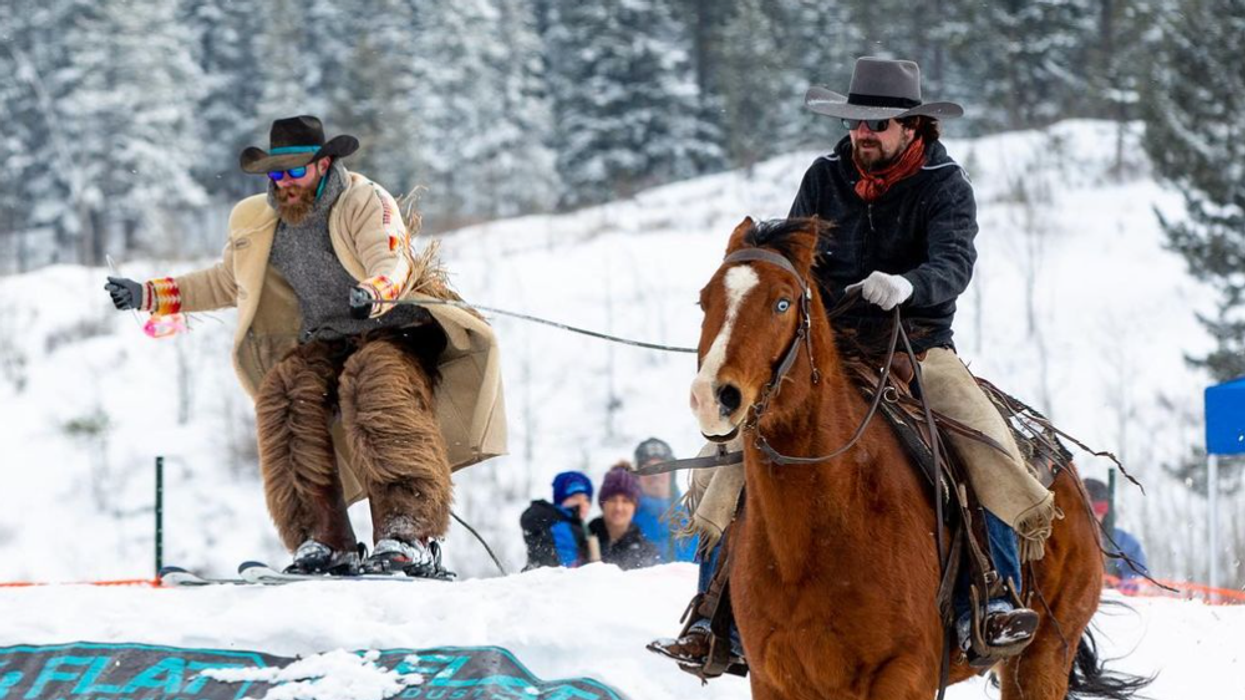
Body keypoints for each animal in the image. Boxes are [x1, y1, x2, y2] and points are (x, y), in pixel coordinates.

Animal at [687, 216, 1142, 700]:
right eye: (704, 300)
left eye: (782, 303)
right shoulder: (774, 679)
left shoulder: (903, 676)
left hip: (1043, 657)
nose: (714, 398)